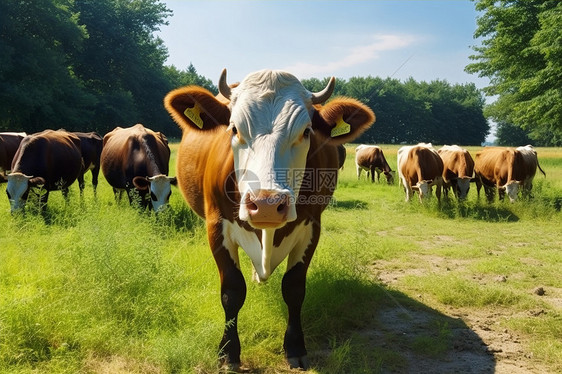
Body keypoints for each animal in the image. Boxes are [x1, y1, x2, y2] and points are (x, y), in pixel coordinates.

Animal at [164, 68, 374, 370]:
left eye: (306, 131)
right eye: (234, 129)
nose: (266, 204)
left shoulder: (311, 228)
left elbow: (294, 289)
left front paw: (295, 347)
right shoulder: (216, 226)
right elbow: (232, 291)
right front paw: (228, 353)